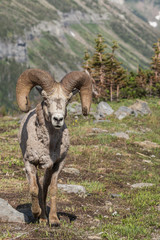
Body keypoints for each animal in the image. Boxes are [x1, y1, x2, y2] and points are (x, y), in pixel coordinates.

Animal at [16, 68, 92, 226]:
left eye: (67, 100)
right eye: (45, 100)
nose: (58, 119)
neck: (48, 145)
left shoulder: (58, 164)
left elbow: (53, 189)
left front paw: (54, 220)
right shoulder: (30, 162)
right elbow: (34, 189)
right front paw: (36, 213)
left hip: (48, 168)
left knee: (44, 187)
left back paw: (45, 218)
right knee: (38, 186)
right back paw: (41, 217)